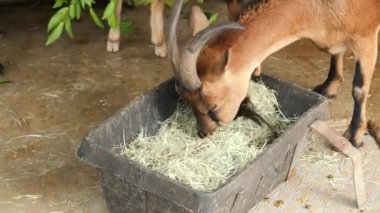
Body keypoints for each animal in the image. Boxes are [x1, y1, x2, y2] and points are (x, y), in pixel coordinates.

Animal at [168, 0, 380, 146]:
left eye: (213, 106)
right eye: (187, 101)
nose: (205, 133)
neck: (317, 8)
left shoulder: (366, 35)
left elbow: (359, 88)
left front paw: (355, 136)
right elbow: (335, 52)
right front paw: (329, 87)